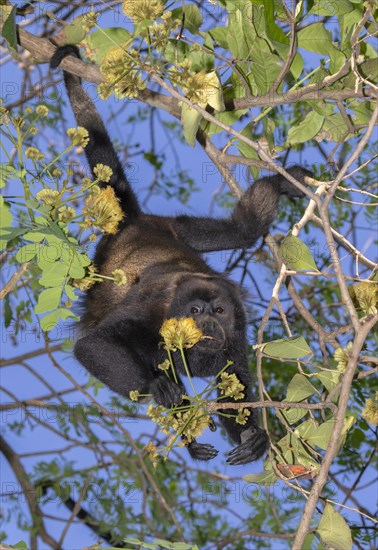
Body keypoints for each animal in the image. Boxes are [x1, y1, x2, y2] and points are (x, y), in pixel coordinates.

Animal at [50, 45, 310, 466]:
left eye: (219, 310)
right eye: (194, 311)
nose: (208, 323)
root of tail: (134, 222)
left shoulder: (237, 330)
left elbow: (235, 378)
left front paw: (253, 437)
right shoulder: (153, 310)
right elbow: (91, 346)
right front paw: (160, 391)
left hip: (177, 229)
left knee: (243, 230)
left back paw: (279, 184)